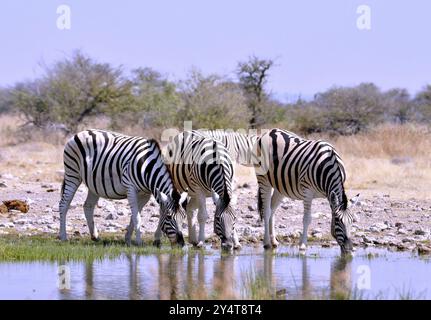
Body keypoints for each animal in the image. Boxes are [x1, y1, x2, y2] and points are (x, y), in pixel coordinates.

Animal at [58, 129, 186, 246]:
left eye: (183, 217)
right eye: (169, 217)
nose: (181, 243)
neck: (147, 168)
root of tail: (81, 132)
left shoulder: (145, 194)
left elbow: (134, 215)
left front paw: (128, 239)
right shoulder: (130, 187)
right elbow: (137, 217)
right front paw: (139, 242)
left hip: (93, 184)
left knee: (88, 206)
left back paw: (95, 237)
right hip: (72, 173)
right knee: (64, 204)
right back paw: (63, 237)